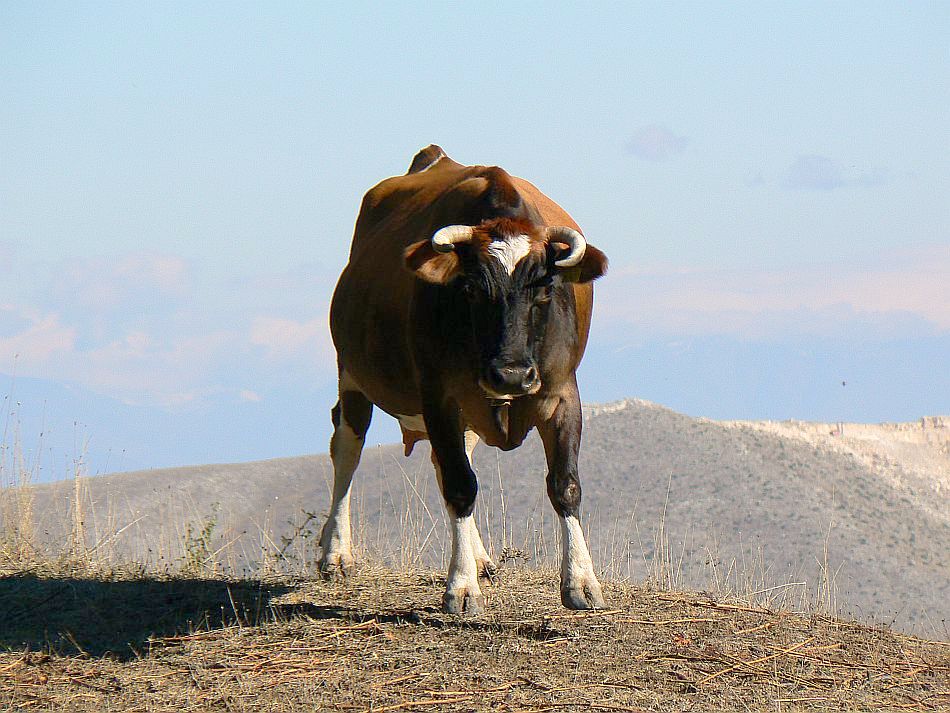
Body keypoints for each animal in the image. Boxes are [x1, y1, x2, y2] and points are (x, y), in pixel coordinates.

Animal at [319, 145, 608, 613]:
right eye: (471, 289)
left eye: (545, 289)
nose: (510, 374)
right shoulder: (439, 396)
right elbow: (459, 486)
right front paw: (461, 586)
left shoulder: (562, 393)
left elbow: (565, 485)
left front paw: (581, 580)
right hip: (352, 375)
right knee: (347, 449)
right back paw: (335, 554)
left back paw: (481, 557)